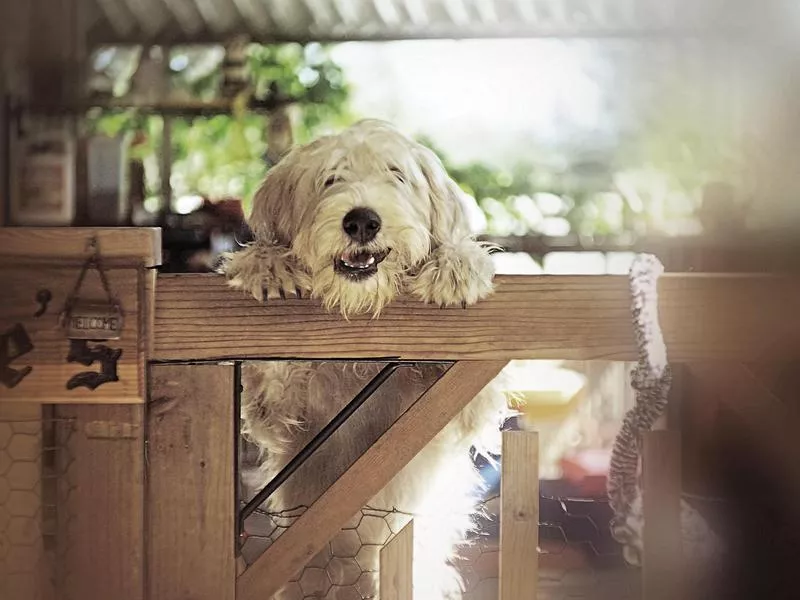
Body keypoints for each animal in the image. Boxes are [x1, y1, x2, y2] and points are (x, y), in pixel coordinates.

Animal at [225, 120, 512, 600]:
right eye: (329, 179)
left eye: (396, 175)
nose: (362, 221)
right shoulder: (278, 411)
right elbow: (273, 379)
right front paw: (267, 262)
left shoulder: (461, 405)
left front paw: (457, 264)